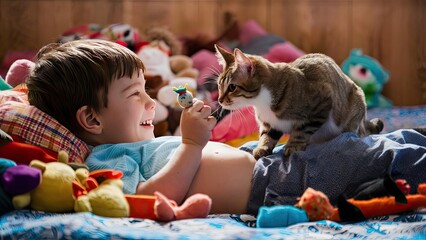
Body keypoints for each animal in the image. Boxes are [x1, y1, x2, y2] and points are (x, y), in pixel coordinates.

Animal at [215, 44, 384, 159]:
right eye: (219, 85)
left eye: (232, 87)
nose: (219, 100)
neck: (262, 103)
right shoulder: (270, 123)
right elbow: (267, 135)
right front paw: (262, 147)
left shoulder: (322, 102)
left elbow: (302, 129)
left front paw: (293, 146)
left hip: (355, 104)